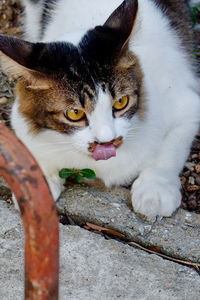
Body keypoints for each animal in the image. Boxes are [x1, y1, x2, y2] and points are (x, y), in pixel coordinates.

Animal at [0, 0, 200, 218]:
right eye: (75, 113)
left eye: (121, 102)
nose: (107, 141)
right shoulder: (21, 117)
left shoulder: (185, 104)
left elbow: (170, 150)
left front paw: (155, 190)